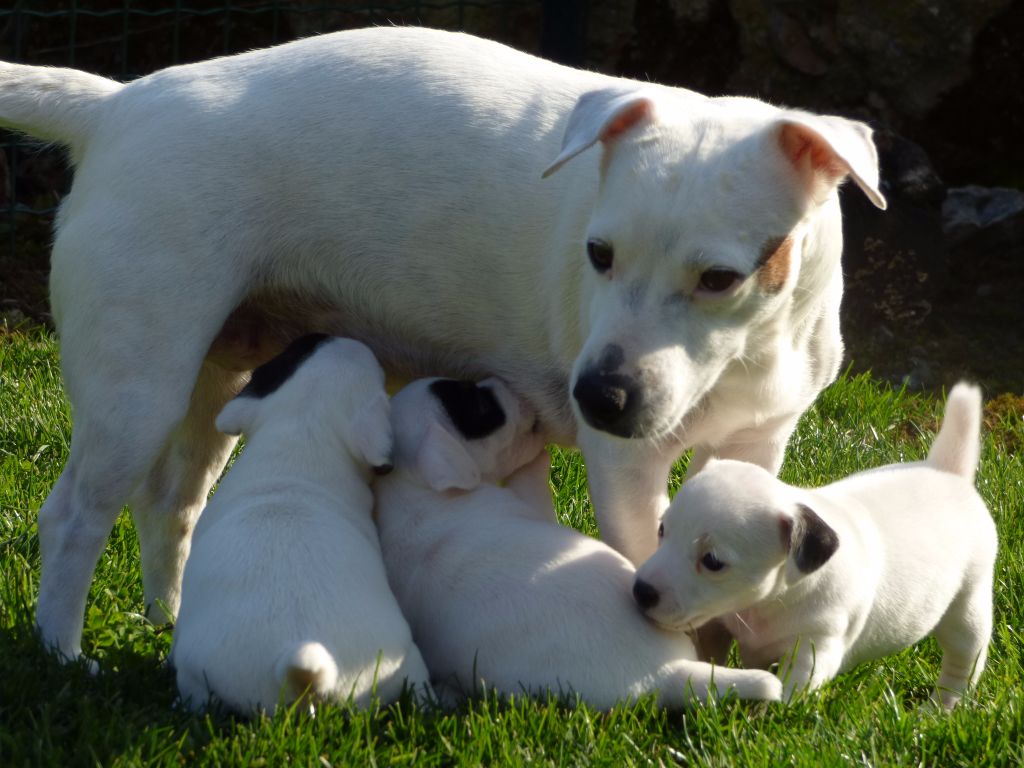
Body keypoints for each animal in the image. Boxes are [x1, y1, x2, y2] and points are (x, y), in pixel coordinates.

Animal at [0, 24, 888, 663]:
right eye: (598, 254)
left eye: (720, 278)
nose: (597, 396)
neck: (750, 354)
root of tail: (117, 106)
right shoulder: (629, 473)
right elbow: (653, 569)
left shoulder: (758, 442)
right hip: (137, 387)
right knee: (74, 517)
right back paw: (65, 654)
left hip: (221, 374)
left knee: (170, 506)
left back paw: (169, 620)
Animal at [634, 385, 995, 708]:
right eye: (662, 530)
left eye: (712, 561)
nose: (641, 591)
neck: (768, 604)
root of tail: (948, 472)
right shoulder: (719, 625)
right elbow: (711, 653)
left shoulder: (815, 648)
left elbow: (790, 690)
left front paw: (765, 716)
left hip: (968, 606)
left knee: (963, 663)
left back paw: (940, 709)